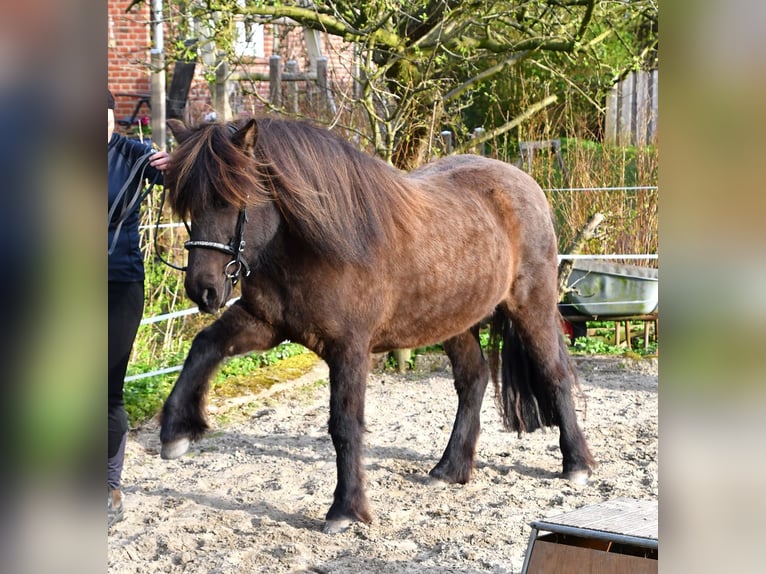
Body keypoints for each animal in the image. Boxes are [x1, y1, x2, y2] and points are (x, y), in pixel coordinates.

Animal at [159, 117, 595, 533]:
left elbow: (345, 423)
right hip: (452, 321)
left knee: (554, 372)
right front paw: (176, 431)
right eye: (187, 203)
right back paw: (450, 469)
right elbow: (205, 345)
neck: (317, 246)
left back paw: (577, 465)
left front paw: (346, 510)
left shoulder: (350, 347)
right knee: (474, 380)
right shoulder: (265, 323)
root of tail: (524, 182)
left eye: (229, 199)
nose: (202, 290)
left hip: (530, 305)